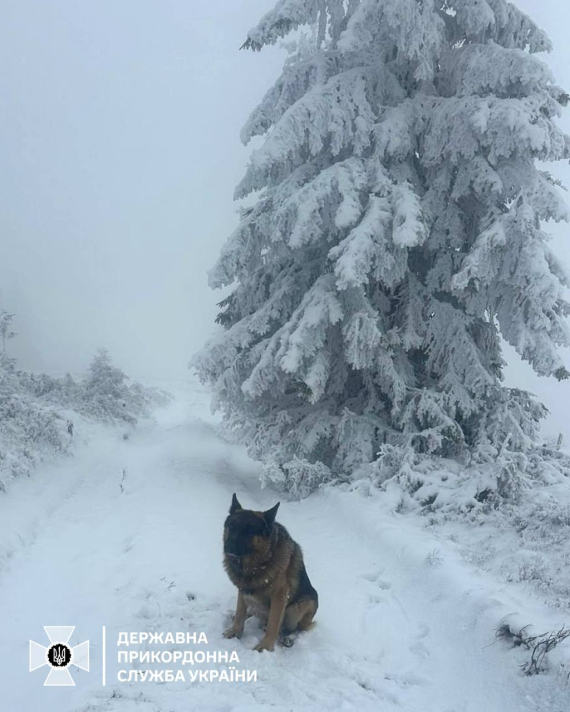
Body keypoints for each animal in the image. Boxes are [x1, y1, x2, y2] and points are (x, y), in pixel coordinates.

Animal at [222, 496, 318, 652]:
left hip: (302, 604)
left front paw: (266, 645)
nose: (228, 547)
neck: (255, 565)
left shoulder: (280, 594)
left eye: (248, 531)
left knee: (291, 628)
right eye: (231, 526)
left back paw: (285, 638)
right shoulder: (243, 589)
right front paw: (235, 631)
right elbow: (240, 612)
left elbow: (274, 621)